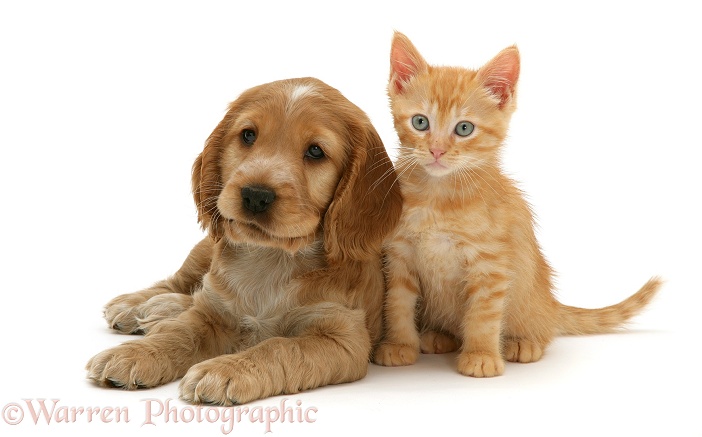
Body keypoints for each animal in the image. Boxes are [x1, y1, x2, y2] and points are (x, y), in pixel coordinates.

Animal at [88, 76, 404, 404]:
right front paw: (135, 355)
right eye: (248, 135)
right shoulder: (210, 313)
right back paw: (138, 305)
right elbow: (179, 332)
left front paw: (226, 370)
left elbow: (280, 347)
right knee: (180, 283)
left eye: (316, 151)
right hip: (204, 250)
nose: (255, 195)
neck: (272, 258)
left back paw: (159, 310)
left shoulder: (342, 337)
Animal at [376, 32, 664, 376]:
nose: (436, 151)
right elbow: (397, 304)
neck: (439, 197)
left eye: (464, 128)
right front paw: (399, 345)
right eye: (420, 122)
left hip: (530, 302)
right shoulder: (399, 256)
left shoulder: (490, 263)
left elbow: (484, 314)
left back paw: (522, 342)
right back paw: (438, 336)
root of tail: (551, 304)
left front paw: (482, 356)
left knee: (541, 330)